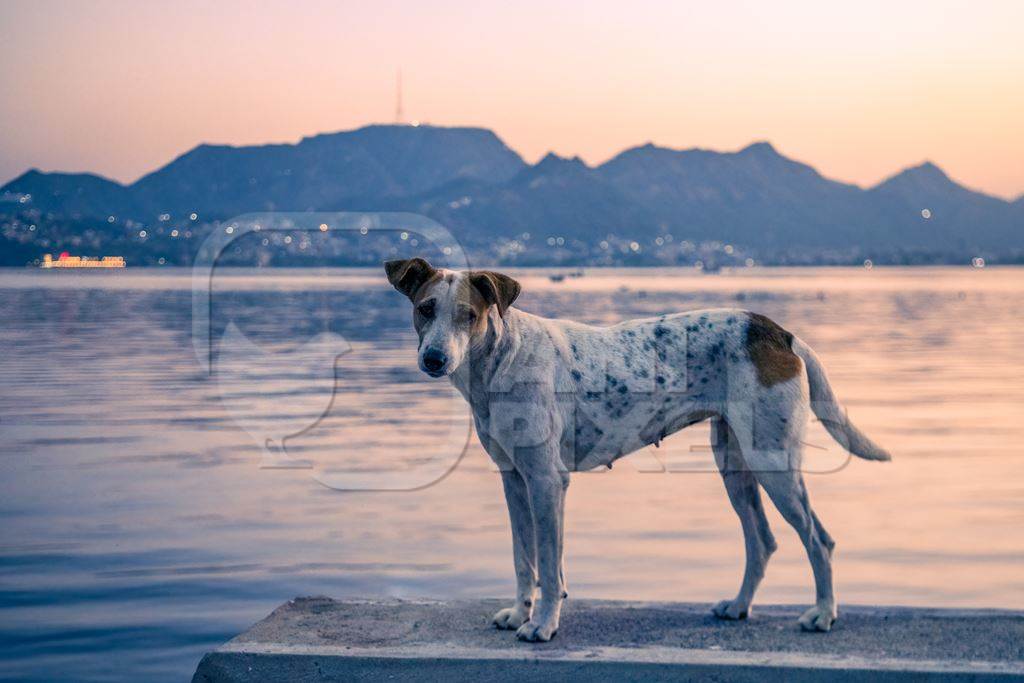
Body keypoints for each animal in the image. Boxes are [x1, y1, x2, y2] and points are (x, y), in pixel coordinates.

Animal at [385, 255, 888, 643]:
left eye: (469, 315)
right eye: (425, 308)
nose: (434, 359)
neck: (502, 360)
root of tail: (776, 330)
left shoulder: (547, 481)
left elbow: (549, 563)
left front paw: (543, 624)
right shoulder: (514, 480)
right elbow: (522, 558)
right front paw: (519, 613)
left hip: (774, 463)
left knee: (819, 539)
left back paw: (823, 614)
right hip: (734, 464)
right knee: (761, 541)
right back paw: (739, 605)